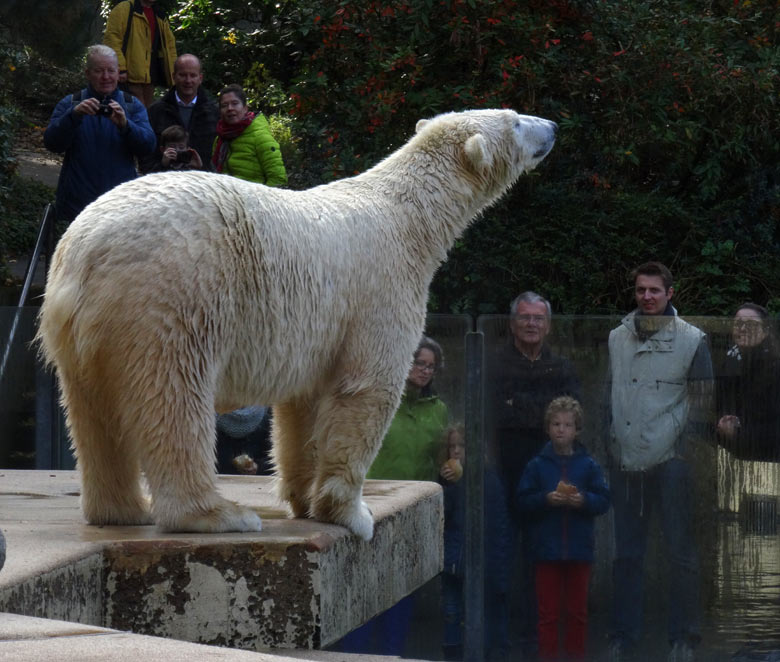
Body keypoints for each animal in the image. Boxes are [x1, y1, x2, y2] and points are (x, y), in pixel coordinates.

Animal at [39, 110, 556, 540]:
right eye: (514, 121)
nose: (551, 126)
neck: (409, 219)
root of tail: (86, 248)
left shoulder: (313, 329)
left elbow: (302, 407)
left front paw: (304, 500)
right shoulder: (381, 288)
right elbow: (367, 389)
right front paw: (351, 513)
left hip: (79, 327)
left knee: (91, 409)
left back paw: (121, 510)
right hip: (173, 295)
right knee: (173, 397)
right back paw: (219, 514)